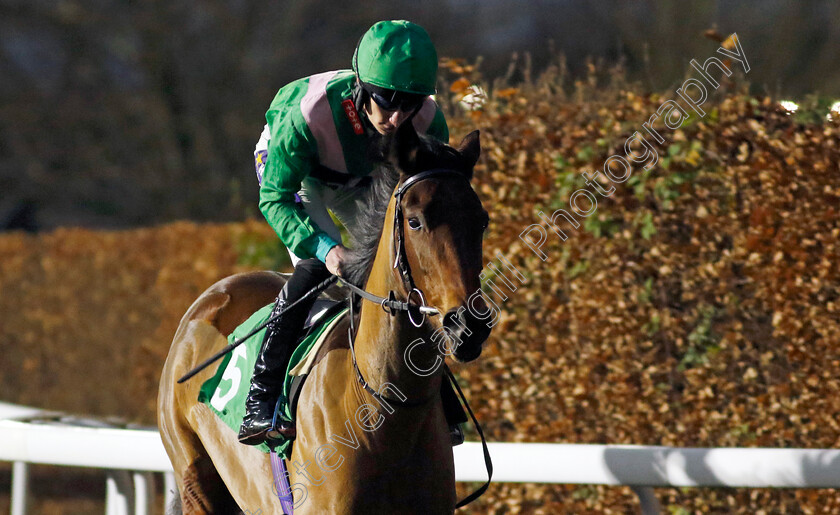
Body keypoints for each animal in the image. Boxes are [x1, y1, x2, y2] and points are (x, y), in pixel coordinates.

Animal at [158, 125, 492, 515]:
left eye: (481, 221)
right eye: (415, 221)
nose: (469, 324)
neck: (381, 408)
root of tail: (210, 298)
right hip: (196, 479)